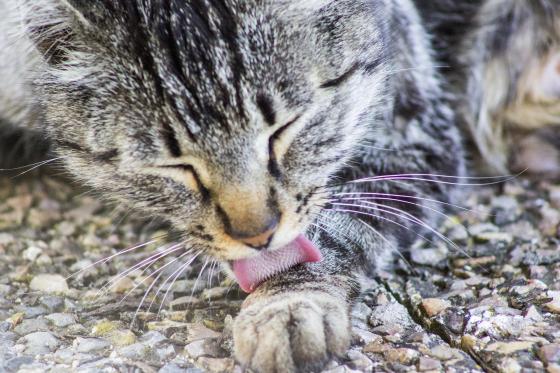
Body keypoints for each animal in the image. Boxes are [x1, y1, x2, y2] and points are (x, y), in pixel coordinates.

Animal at [0, 0, 552, 372]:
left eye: (284, 128)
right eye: (173, 164)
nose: (257, 234)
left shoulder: (413, 138)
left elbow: (334, 230)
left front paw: (290, 305)